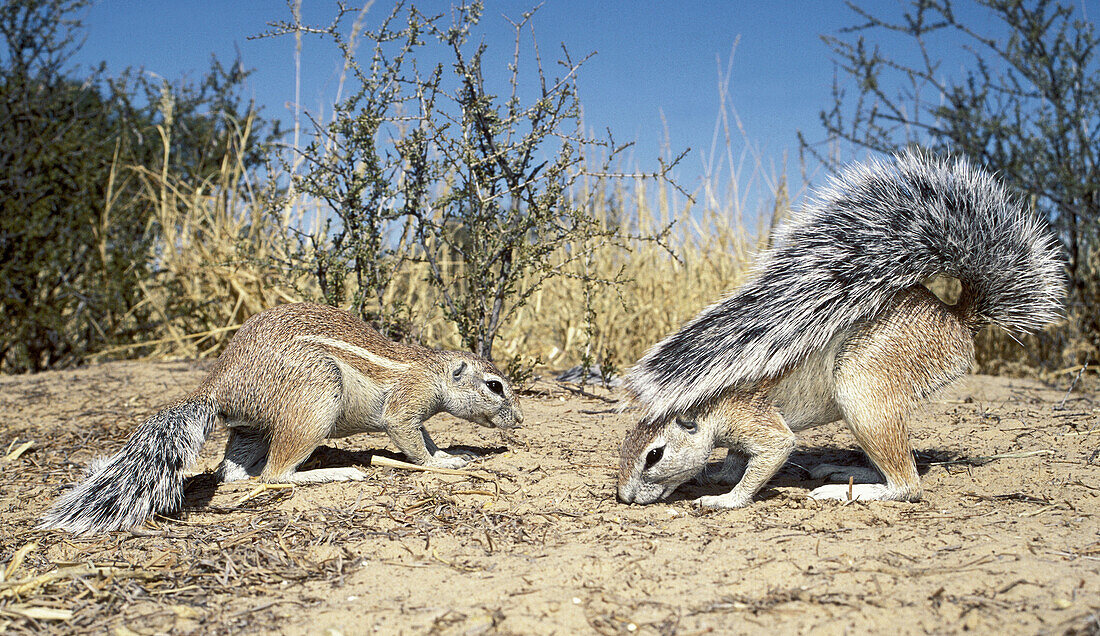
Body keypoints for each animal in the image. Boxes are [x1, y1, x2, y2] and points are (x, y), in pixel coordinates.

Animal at [40, 301, 521, 530]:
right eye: (495, 386)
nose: (519, 420)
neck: (433, 371)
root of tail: (218, 384)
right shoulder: (405, 408)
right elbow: (412, 443)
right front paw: (444, 464)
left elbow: (429, 438)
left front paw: (452, 452)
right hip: (316, 397)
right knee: (277, 473)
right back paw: (338, 472)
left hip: (250, 429)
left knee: (231, 474)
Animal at [616, 150, 1060, 508]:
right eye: (624, 445)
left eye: (653, 455)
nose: (624, 496)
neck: (707, 404)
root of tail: (958, 318)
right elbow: (731, 465)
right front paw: (712, 476)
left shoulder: (754, 419)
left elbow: (772, 454)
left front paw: (723, 500)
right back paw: (847, 472)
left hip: (863, 385)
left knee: (907, 485)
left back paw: (848, 491)